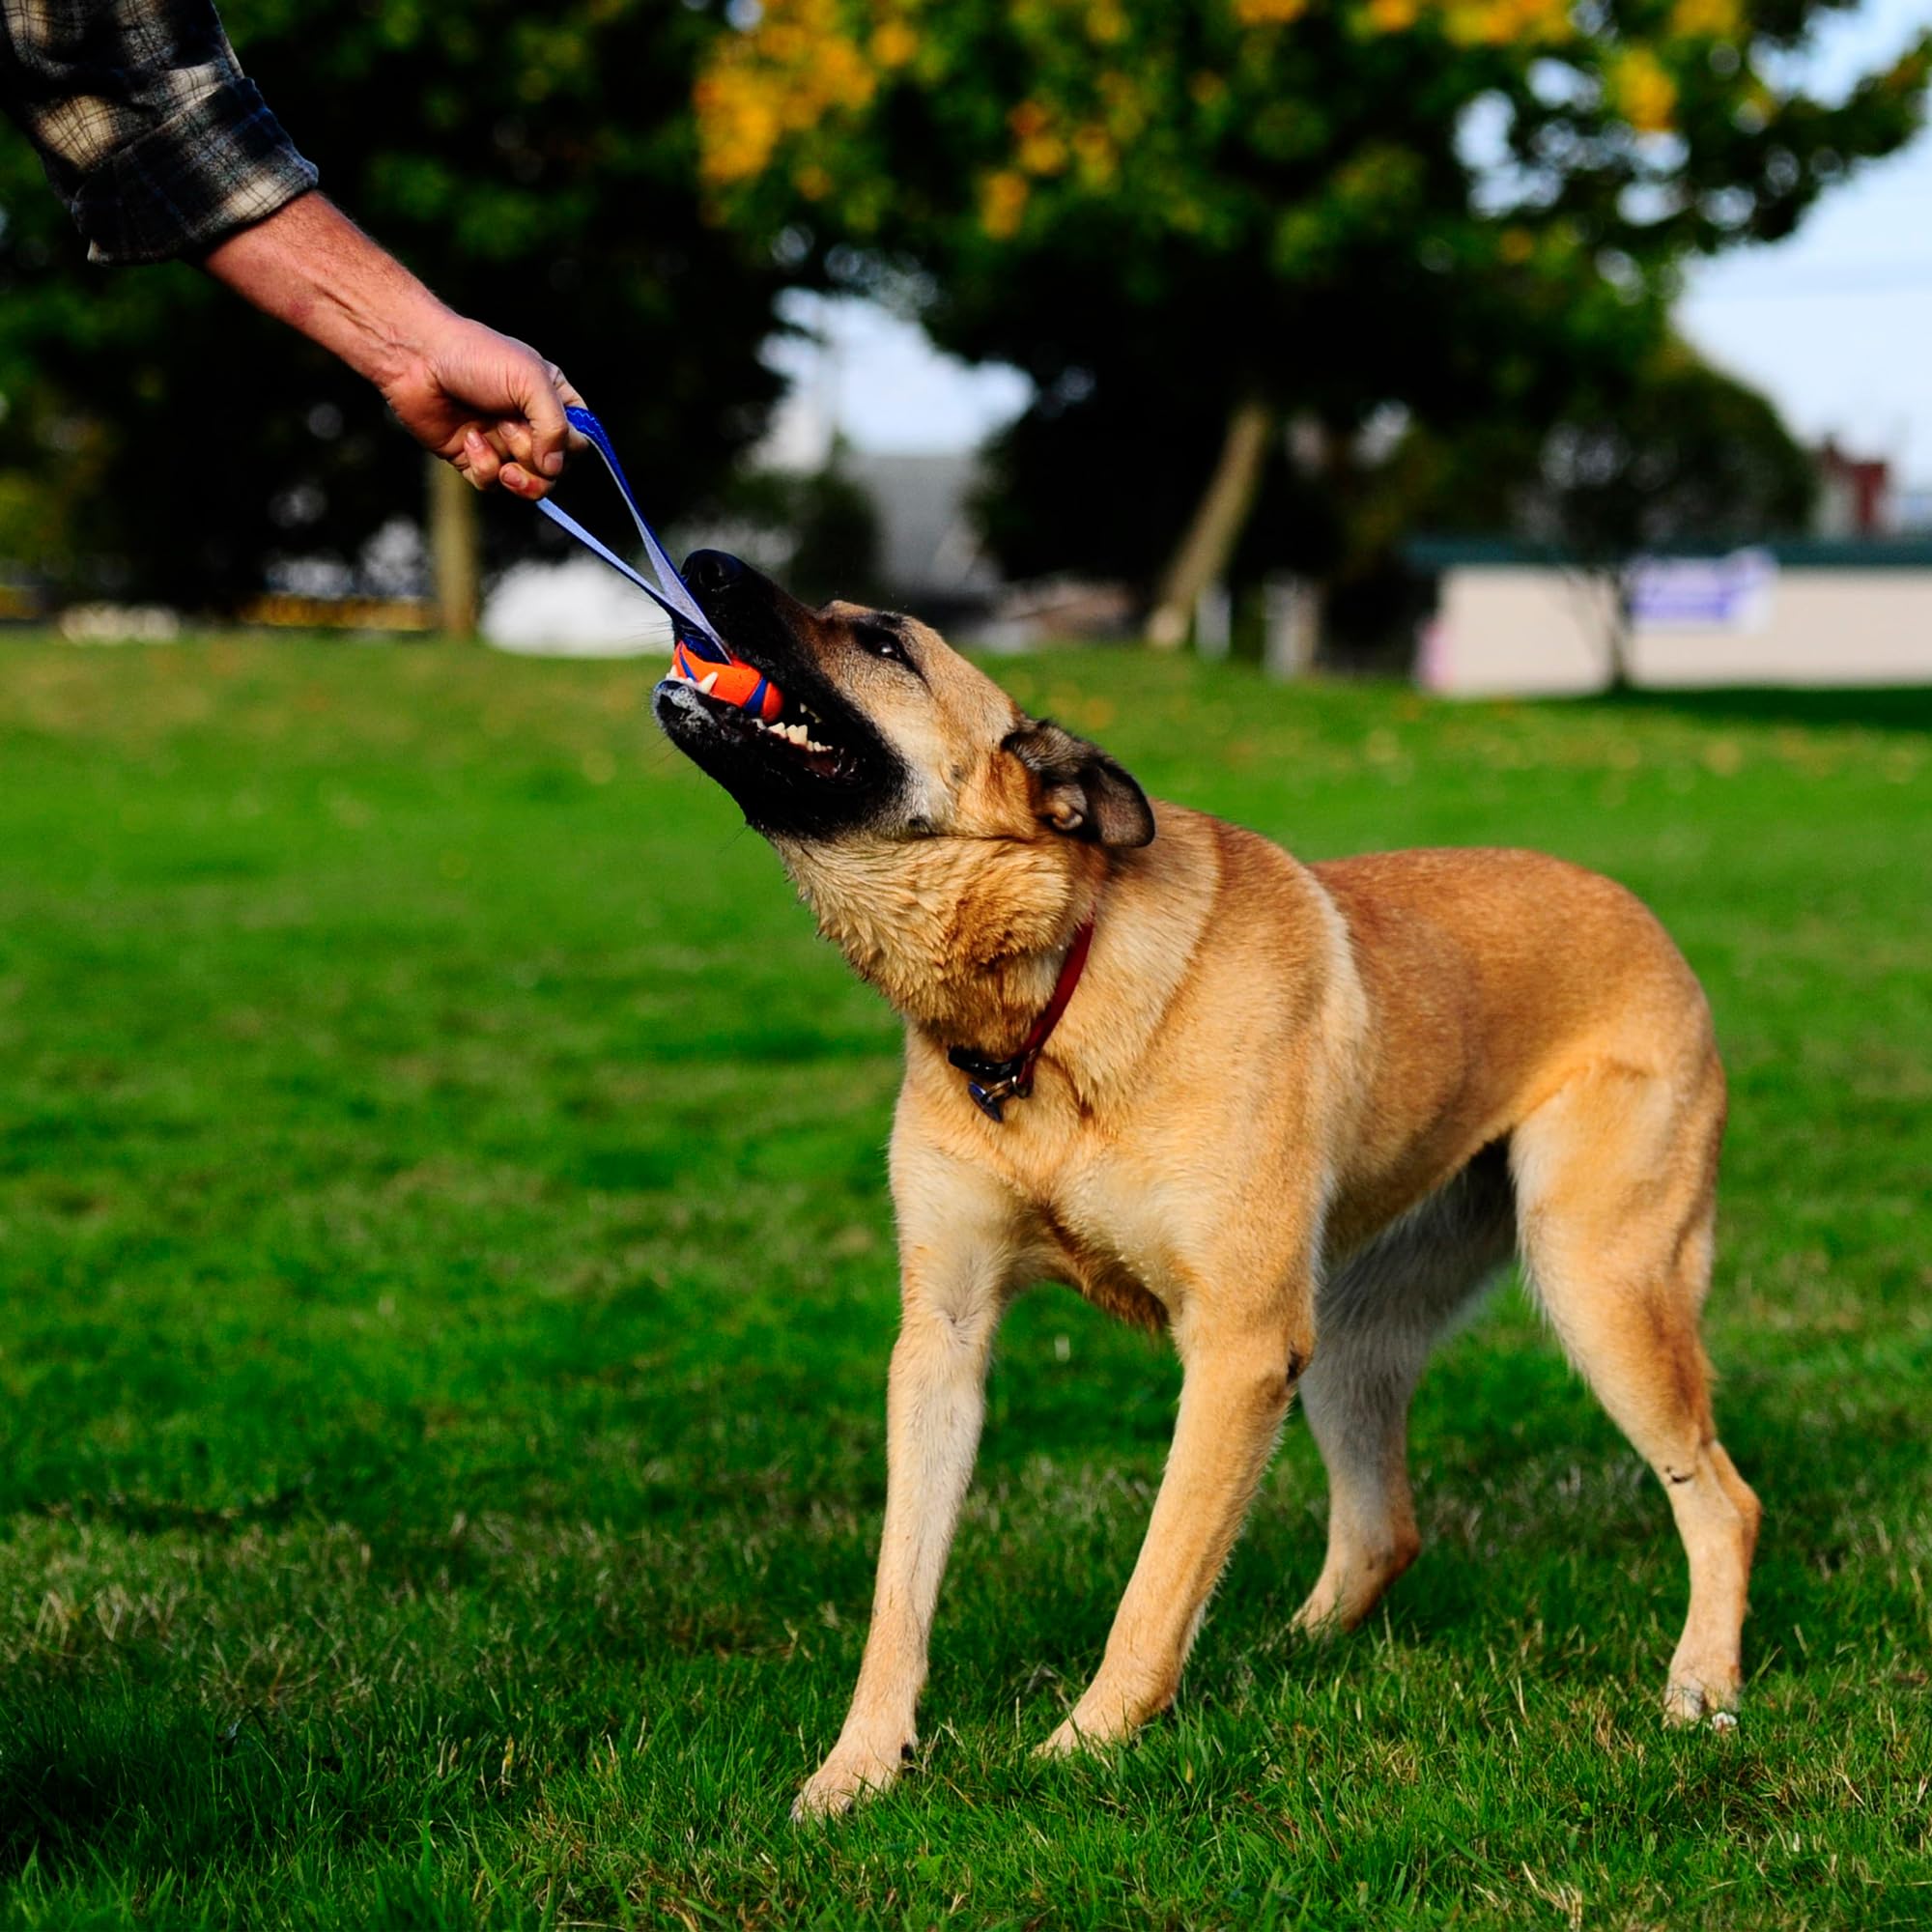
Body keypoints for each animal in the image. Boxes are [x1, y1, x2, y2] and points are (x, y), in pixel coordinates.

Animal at [657, 553, 1762, 1816]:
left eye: (886, 644)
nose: (705, 565)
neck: (1050, 998)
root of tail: (1646, 921)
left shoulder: (1235, 1344)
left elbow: (1153, 1581)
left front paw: (1079, 1749)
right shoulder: (942, 1335)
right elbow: (901, 1590)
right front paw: (856, 1769)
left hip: (1596, 1282)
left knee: (1720, 1498)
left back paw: (1700, 1683)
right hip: (1348, 1333)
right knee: (1383, 1528)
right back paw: (1289, 1647)